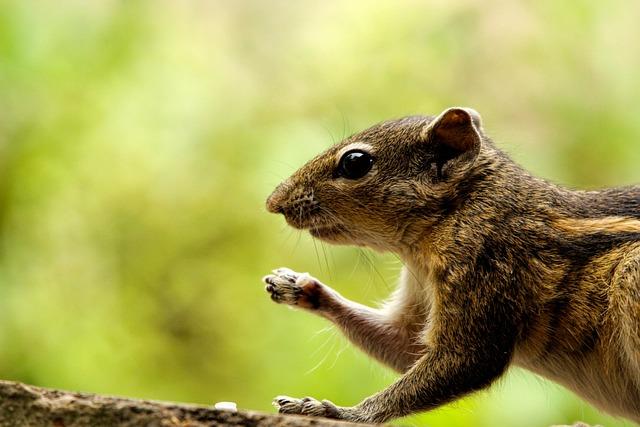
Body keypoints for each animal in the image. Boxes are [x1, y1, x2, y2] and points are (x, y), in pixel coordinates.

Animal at [262, 108, 640, 424]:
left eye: (355, 162)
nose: (273, 202)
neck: (457, 208)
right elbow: (405, 344)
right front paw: (297, 286)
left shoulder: (485, 262)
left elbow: (466, 358)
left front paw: (339, 412)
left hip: (631, 276)